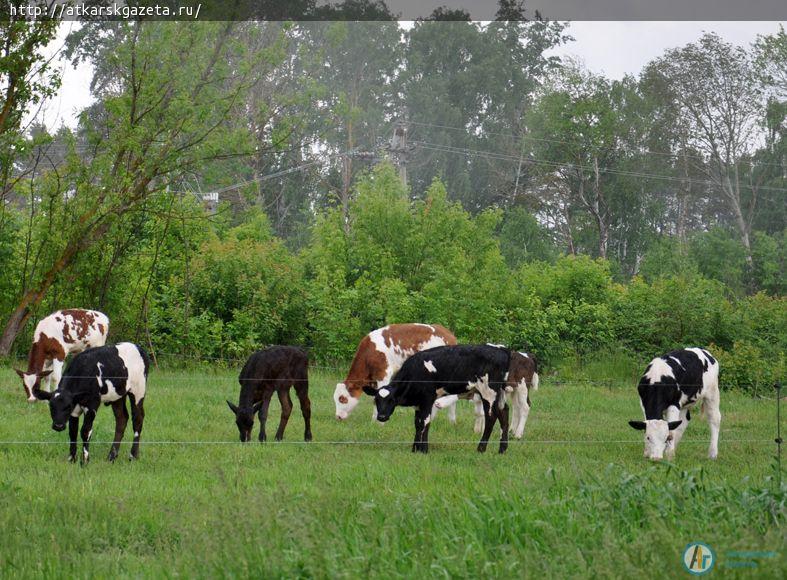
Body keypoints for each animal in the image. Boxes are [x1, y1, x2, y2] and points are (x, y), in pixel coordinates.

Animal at [364, 344, 516, 454]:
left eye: (392, 400)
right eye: (376, 400)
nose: (381, 417)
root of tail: (501, 350)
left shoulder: (427, 399)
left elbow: (424, 422)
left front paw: (423, 450)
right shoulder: (419, 403)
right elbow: (418, 423)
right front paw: (415, 449)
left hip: (488, 391)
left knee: (491, 417)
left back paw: (481, 448)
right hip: (498, 393)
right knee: (504, 412)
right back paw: (502, 449)